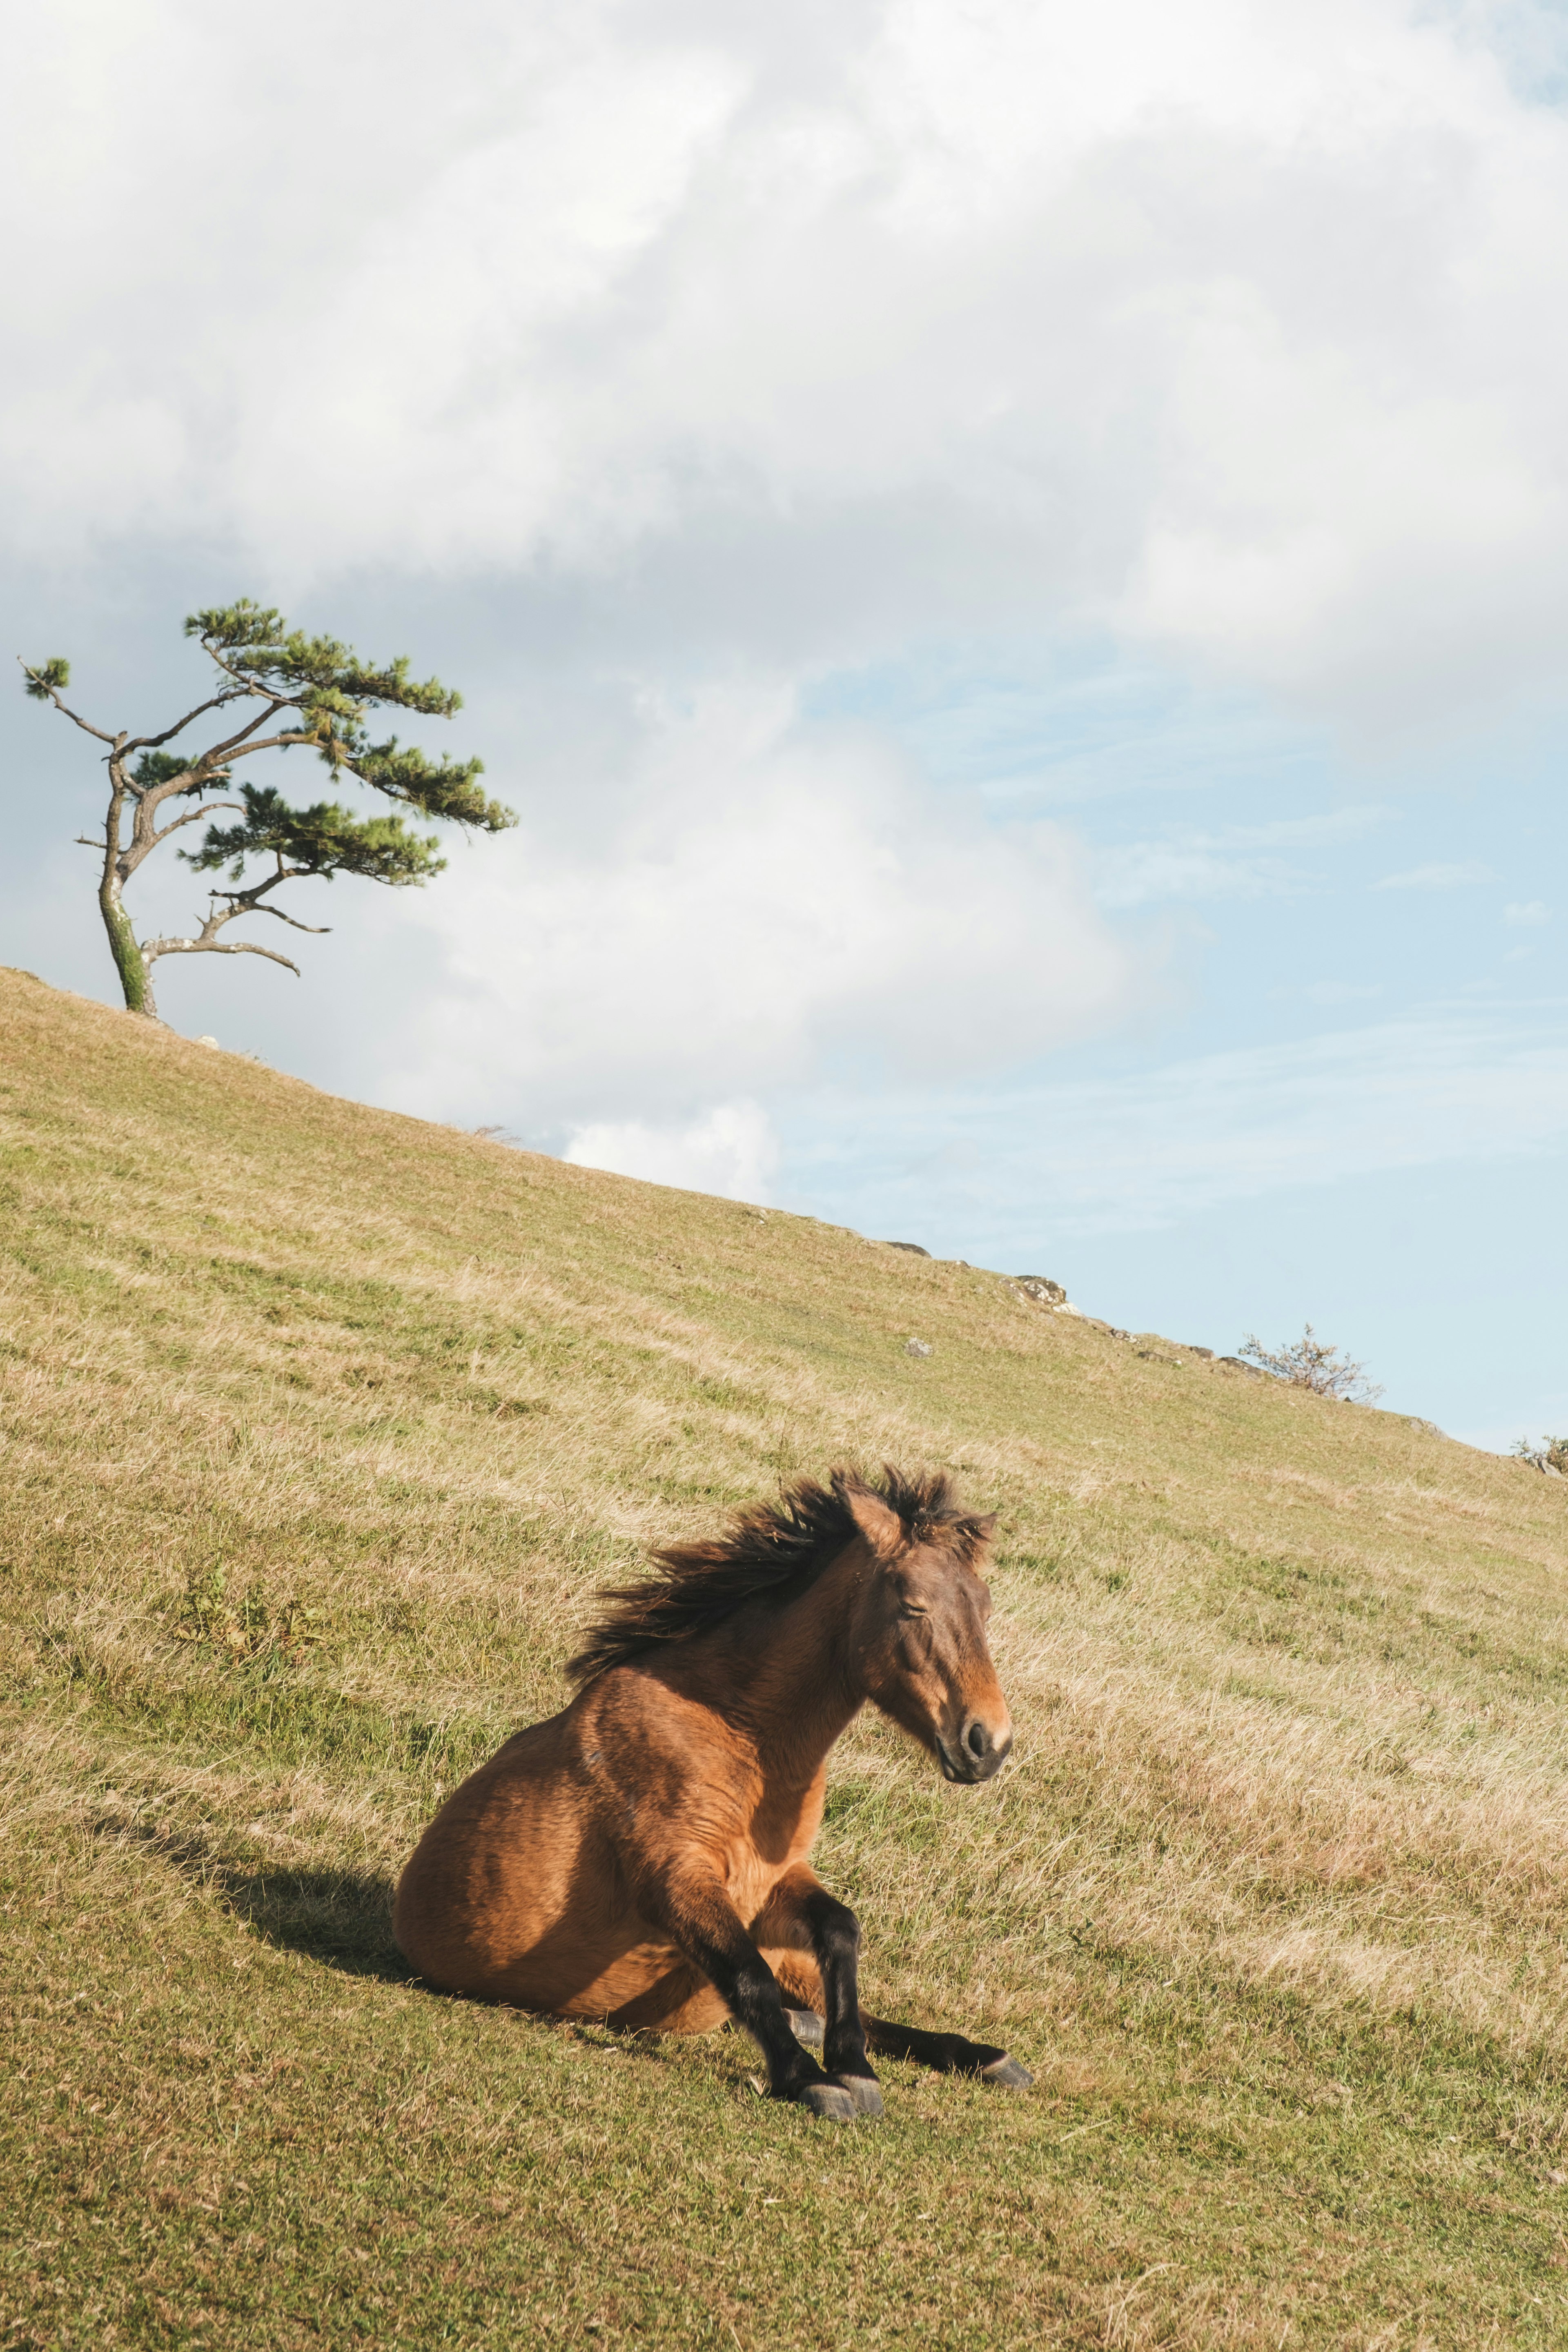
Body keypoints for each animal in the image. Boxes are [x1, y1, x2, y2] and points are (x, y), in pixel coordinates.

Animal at [392, 1458, 1029, 2126]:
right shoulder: (677, 1881)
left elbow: (841, 1933)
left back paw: (982, 2057)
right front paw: (811, 2079)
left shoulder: (774, 1883)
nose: (988, 1743)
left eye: (984, 1608)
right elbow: (749, 1975)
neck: (739, 1737)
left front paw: (852, 2066)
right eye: (913, 1605)